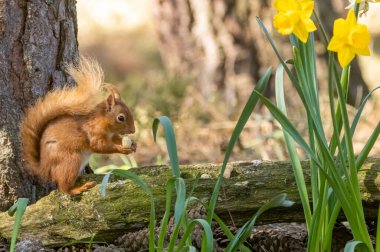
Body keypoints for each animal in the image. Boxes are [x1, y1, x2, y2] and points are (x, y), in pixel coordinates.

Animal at [20, 57, 137, 195]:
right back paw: (78, 189)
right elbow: (100, 146)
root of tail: (44, 168)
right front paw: (121, 149)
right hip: (70, 160)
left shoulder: (111, 135)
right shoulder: (93, 133)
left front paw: (133, 145)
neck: (102, 123)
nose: (133, 130)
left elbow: (115, 139)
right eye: (121, 118)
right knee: (63, 187)